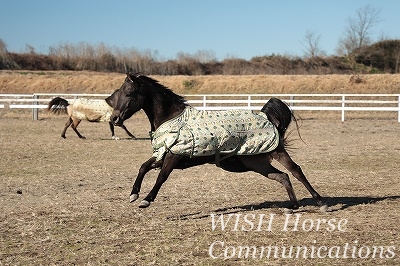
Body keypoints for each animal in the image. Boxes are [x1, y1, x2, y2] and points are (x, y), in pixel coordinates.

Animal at [111, 72, 326, 212]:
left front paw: (146, 200)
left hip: (276, 152)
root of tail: (267, 115)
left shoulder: (173, 156)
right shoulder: (162, 154)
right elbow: (143, 167)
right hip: (255, 162)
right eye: (118, 93)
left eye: (129, 94)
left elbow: (161, 177)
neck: (171, 117)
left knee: (296, 171)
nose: (114, 118)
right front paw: (133, 194)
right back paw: (293, 206)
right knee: (282, 177)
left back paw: (320, 202)